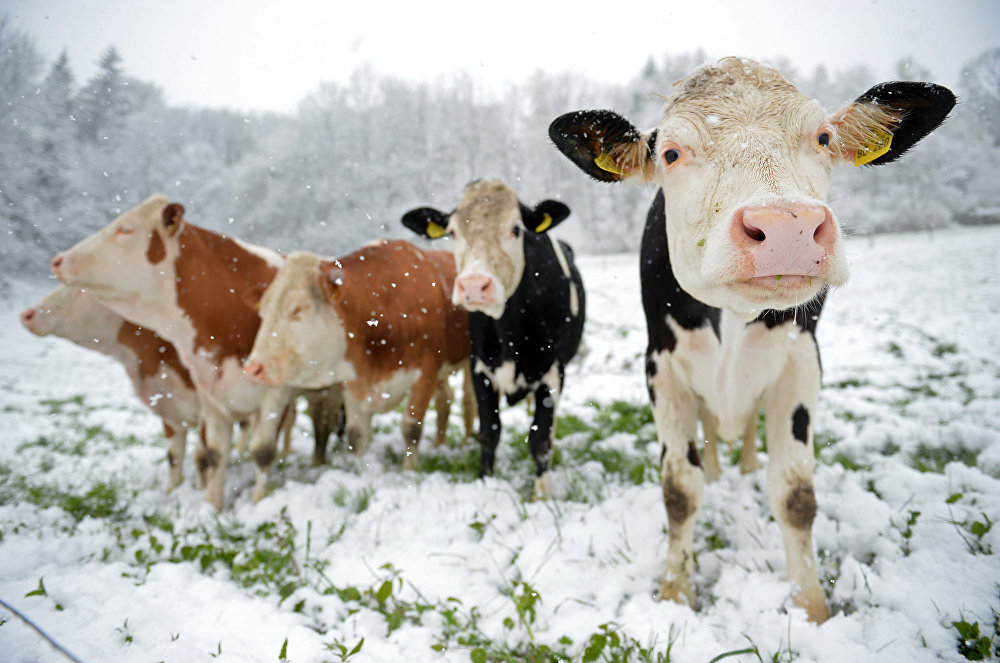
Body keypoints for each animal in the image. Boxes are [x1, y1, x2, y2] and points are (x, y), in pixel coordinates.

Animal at [50, 195, 302, 510]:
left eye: (125, 228)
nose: (58, 259)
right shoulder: (209, 392)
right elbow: (214, 453)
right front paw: (211, 508)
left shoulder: (276, 393)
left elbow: (263, 451)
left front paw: (258, 504)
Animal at [244, 240, 474, 466]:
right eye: (263, 310)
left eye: (299, 308)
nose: (252, 368)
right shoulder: (354, 381)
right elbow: (357, 436)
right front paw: (357, 470)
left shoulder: (425, 373)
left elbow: (411, 430)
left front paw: (409, 470)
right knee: (445, 399)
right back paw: (439, 445)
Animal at [398, 179, 584, 500]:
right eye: (452, 232)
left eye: (516, 229)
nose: (474, 286)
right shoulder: (480, 367)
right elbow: (489, 430)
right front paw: (485, 481)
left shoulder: (553, 372)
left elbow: (541, 438)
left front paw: (541, 496)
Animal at [552, 57, 956, 624]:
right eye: (671, 153)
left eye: (823, 137)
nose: (787, 229)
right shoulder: (662, 367)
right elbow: (679, 490)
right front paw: (675, 594)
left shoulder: (802, 362)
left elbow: (796, 495)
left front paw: (811, 609)